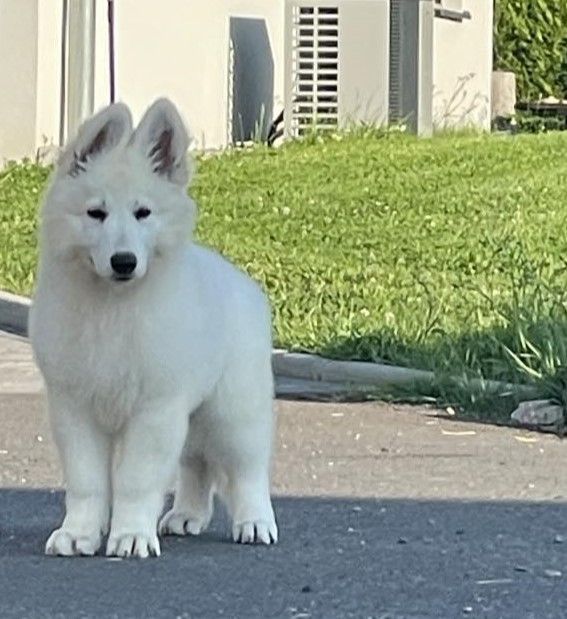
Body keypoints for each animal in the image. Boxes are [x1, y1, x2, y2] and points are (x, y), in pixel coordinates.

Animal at [30, 99, 278, 560]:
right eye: (96, 213)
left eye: (143, 213)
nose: (124, 261)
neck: (112, 306)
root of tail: (243, 282)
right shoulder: (74, 407)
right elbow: (87, 482)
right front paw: (79, 533)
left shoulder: (155, 409)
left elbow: (136, 481)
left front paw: (130, 536)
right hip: (193, 416)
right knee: (196, 464)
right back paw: (187, 515)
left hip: (233, 410)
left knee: (248, 469)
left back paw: (255, 523)